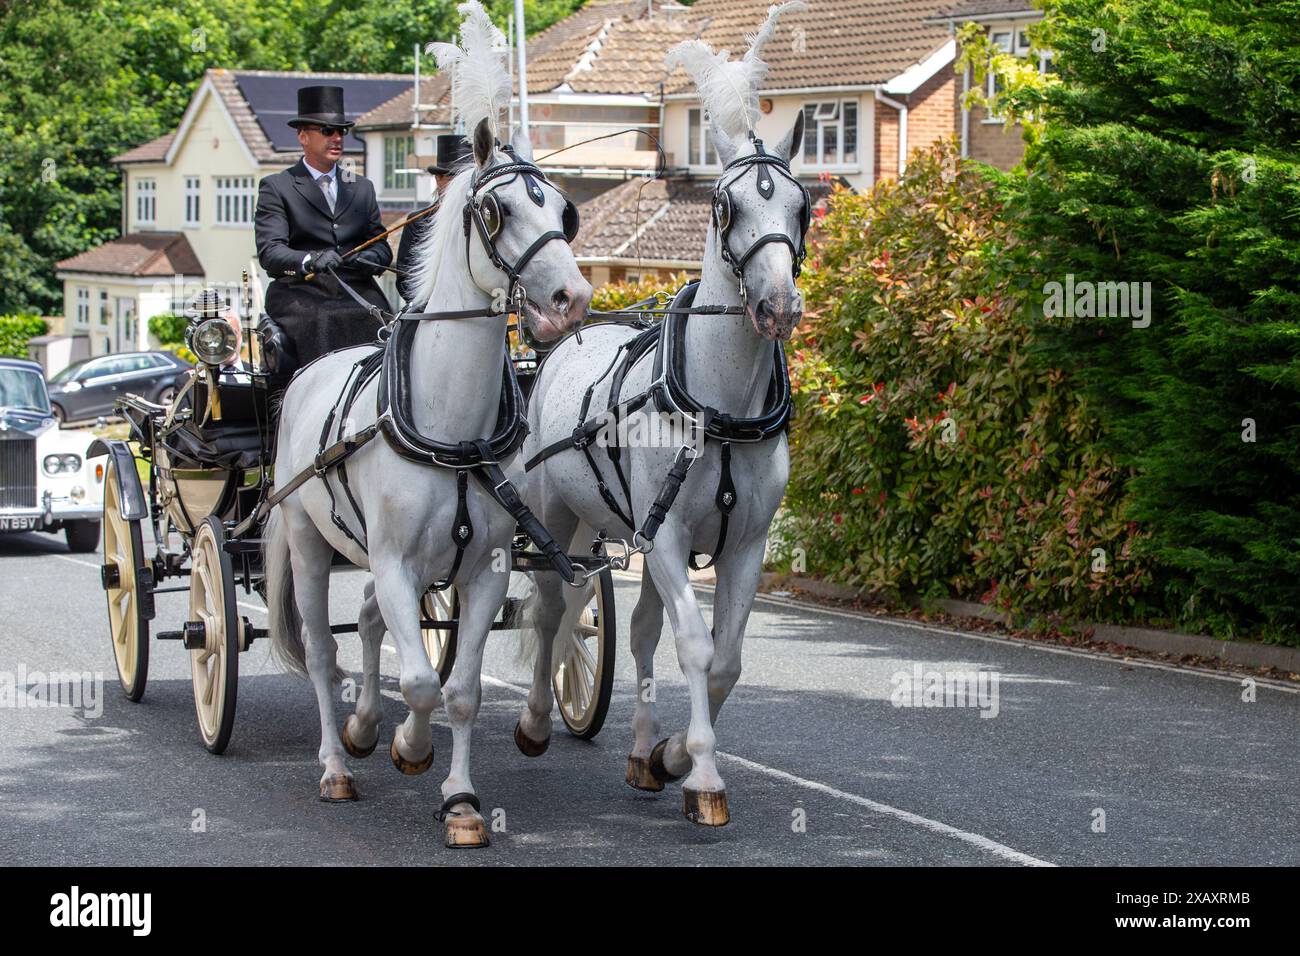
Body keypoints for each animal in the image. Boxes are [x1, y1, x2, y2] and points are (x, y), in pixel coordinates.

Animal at [263, 108, 595, 848]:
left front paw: (460, 800)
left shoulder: (485, 569)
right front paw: (409, 748)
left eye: (564, 209)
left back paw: (360, 728)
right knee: (324, 653)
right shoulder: (394, 562)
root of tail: (307, 372)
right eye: (497, 211)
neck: (454, 428)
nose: (572, 299)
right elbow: (418, 680)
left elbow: (460, 689)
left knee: (365, 621)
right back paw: (336, 763)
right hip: (306, 541)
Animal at [514, 7, 800, 827]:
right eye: (726, 206)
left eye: (803, 203)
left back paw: (643, 751)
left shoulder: (743, 545)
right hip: (556, 520)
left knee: (632, 628)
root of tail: (565, 340)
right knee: (552, 611)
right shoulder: (669, 536)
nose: (778, 304)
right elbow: (696, 648)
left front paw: (674, 754)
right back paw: (537, 720)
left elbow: (724, 656)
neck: (720, 404)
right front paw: (701, 775)